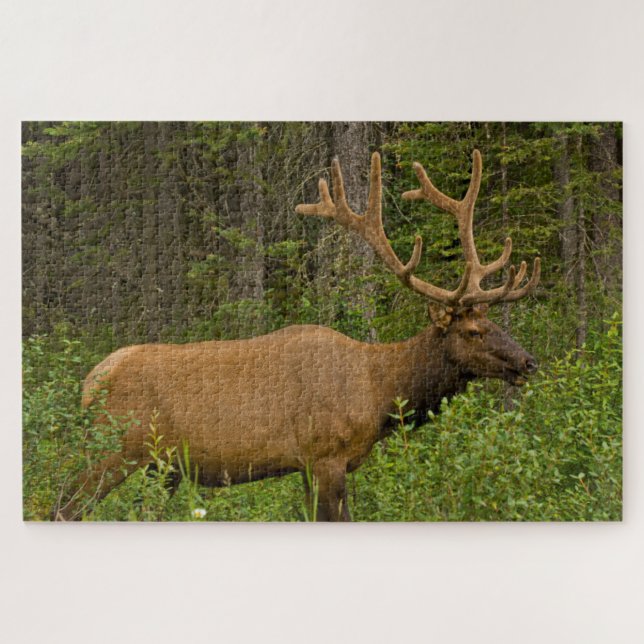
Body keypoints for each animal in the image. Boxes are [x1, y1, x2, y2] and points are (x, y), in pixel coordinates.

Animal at [58, 150, 540, 522]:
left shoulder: (309, 467)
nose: (528, 362)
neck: (380, 392)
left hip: (160, 467)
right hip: (110, 451)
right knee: (64, 505)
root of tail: (90, 382)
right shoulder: (325, 456)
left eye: (497, 324)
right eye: (474, 331)